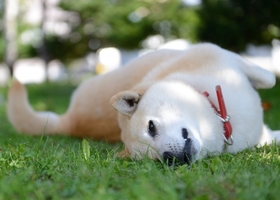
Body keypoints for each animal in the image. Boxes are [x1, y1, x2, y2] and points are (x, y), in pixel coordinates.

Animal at [7, 43, 280, 166]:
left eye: (151, 127)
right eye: (157, 159)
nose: (171, 158)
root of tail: (71, 121)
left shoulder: (224, 57)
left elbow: (269, 78)